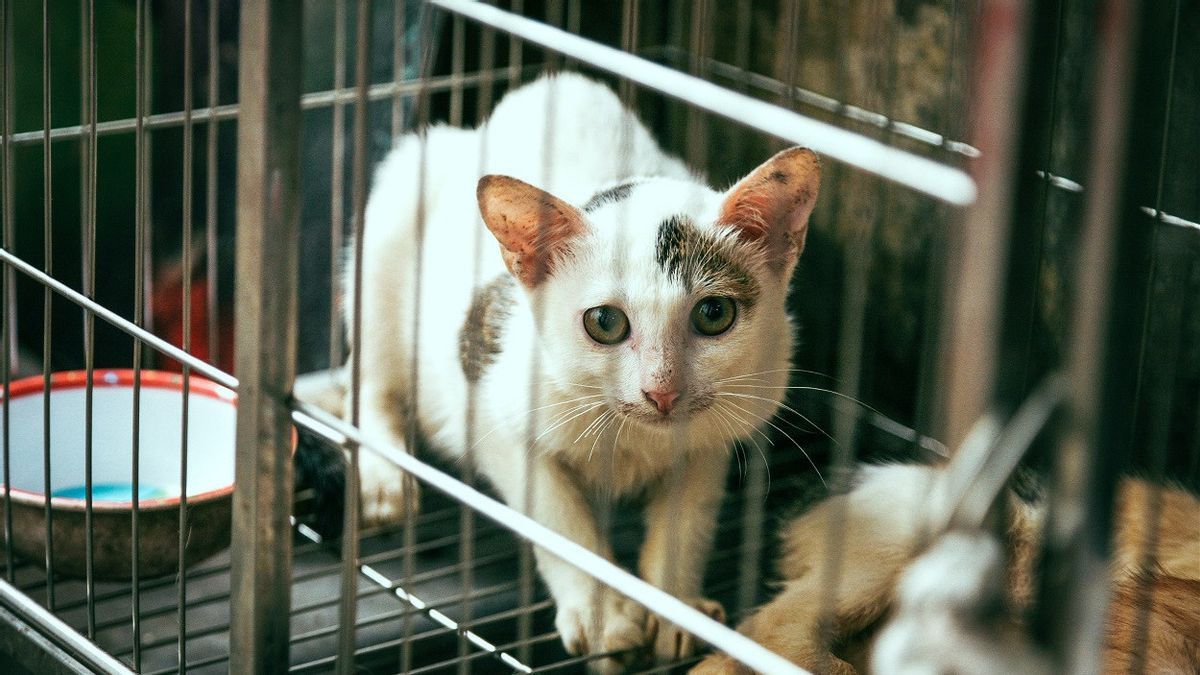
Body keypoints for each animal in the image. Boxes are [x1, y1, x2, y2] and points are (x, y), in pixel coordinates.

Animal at [321, 73, 825, 667]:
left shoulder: (715, 431)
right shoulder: (488, 399)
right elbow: (558, 520)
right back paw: (384, 478)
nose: (662, 392)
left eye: (714, 314)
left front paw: (674, 607)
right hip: (391, 220)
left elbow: (688, 515)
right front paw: (602, 617)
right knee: (370, 379)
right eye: (605, 322)